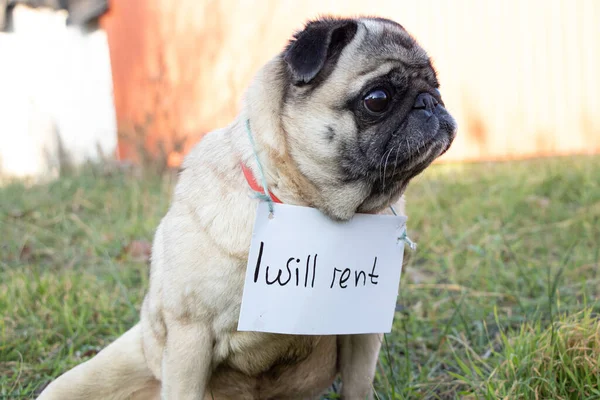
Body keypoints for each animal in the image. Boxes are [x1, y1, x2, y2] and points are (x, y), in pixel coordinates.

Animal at [37, 15, 454, 400]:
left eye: (436, 84)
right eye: (377, 99)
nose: (430, 102)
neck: (308, 205)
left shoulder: (363, 334)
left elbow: (358, 385)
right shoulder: (190, 336)